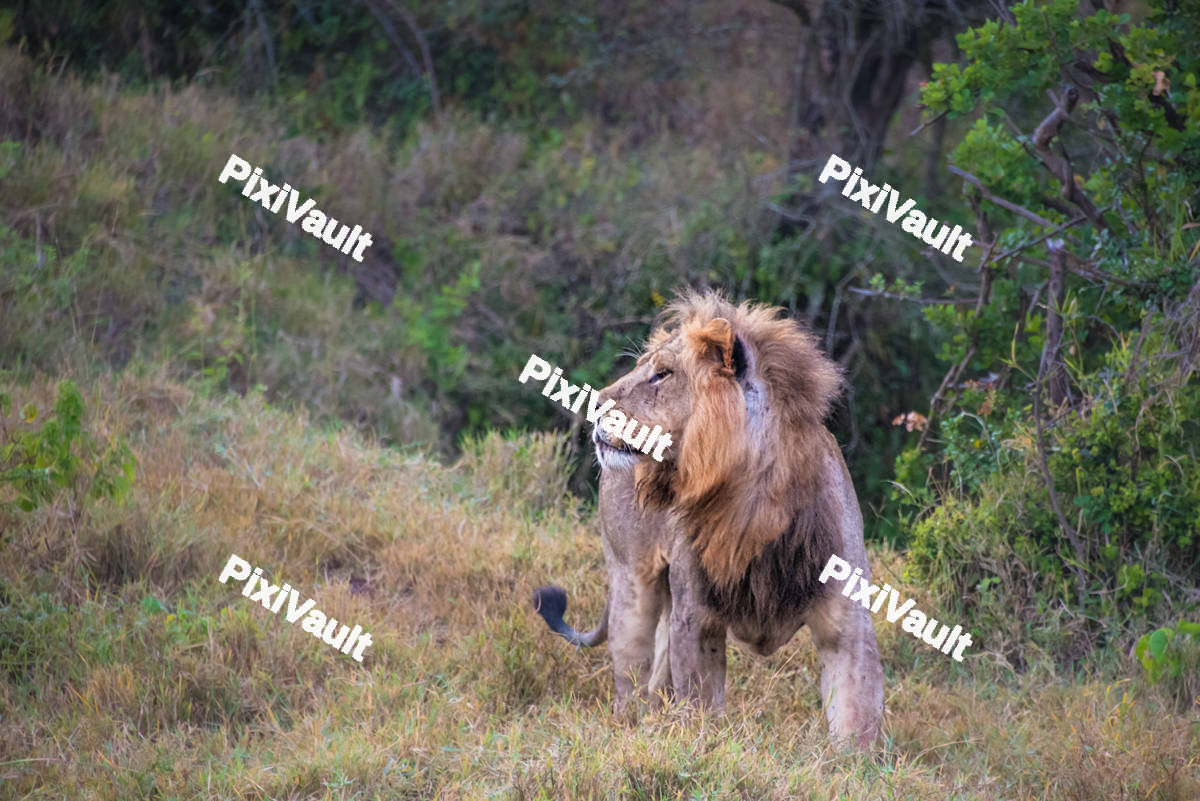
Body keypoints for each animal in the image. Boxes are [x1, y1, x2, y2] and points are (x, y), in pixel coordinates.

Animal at [532, 289, 884, 747]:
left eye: (661, 374)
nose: (592, 404)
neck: (751, 509)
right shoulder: (695, 617)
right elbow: (700, 705)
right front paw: (701, 748)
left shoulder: (847, 626)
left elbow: (857, 717)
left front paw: (851, 764)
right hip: (632, 584)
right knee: (631, 681)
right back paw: (630, 731)